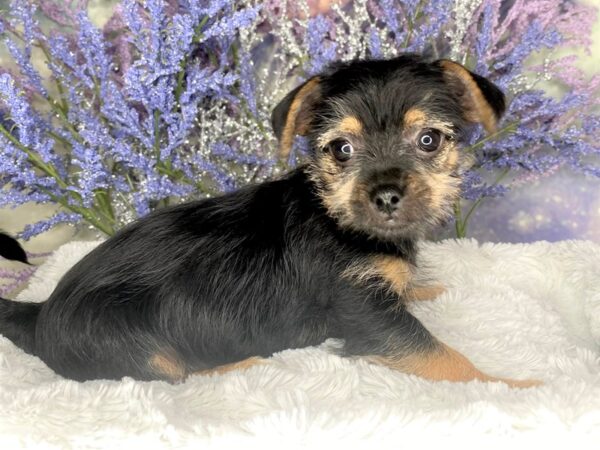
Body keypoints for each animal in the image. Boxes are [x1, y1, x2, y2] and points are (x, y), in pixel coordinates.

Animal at [0, 55, 540, 386]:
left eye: (429, 140)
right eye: (341, 149)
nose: (386, 195)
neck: (335, 216)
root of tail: (41, 313)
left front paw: (424, 286)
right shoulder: (367, 314)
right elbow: (441, 357)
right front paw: (507, 385)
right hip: (129, 346)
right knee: (170, 375)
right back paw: (239, 365)